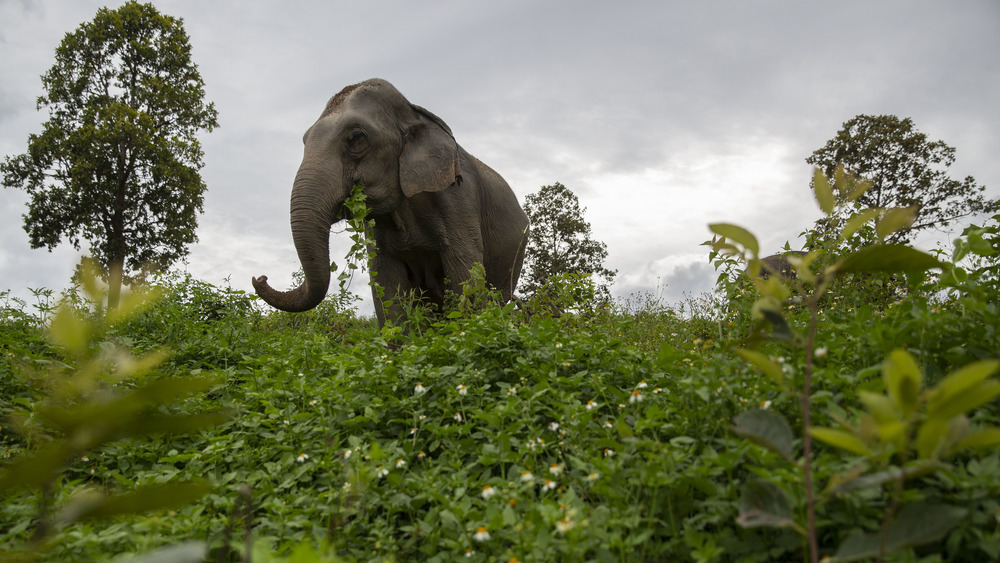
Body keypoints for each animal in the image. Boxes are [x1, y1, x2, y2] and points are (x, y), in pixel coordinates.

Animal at [252, 78, 532, 326]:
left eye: (356, 137)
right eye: (304, 140)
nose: (260, 278)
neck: (413, 112)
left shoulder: (458, 198)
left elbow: (465, 273)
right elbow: (386, 284)